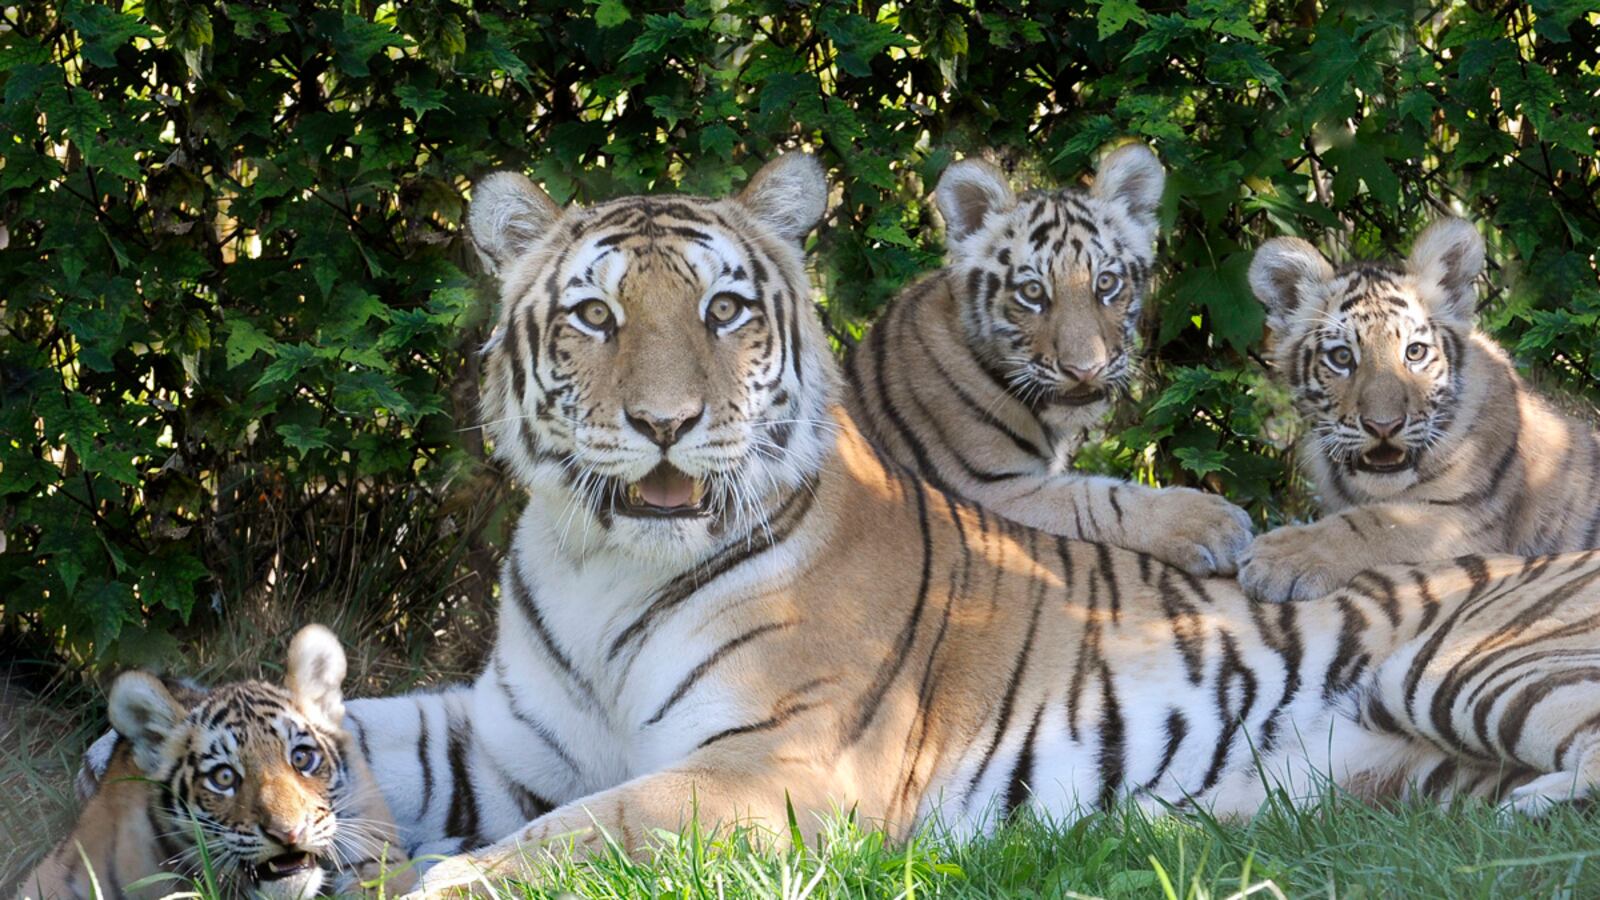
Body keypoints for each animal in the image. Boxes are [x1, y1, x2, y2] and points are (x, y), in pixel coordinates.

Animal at [845, 144, 1253, 577]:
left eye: (1106, 283)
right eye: (1032, 292)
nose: (1085, 370)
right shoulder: (988, 492)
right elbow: (1098, 500)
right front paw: (1211, 523)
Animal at [1240, 217, 1600, 602]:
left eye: (1414, 352)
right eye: (1341, 357)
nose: (1384, 426)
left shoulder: (1466, 519)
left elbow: (1374, 523)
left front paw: (1277, 557)